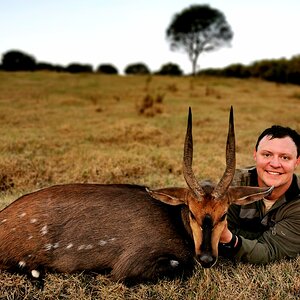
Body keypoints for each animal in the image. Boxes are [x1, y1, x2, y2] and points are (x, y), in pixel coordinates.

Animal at [0, 106, 272, 284]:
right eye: (192, 213)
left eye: (223, 214)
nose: (206, 258)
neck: (177, 223)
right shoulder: (129, 266)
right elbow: (181, 267)